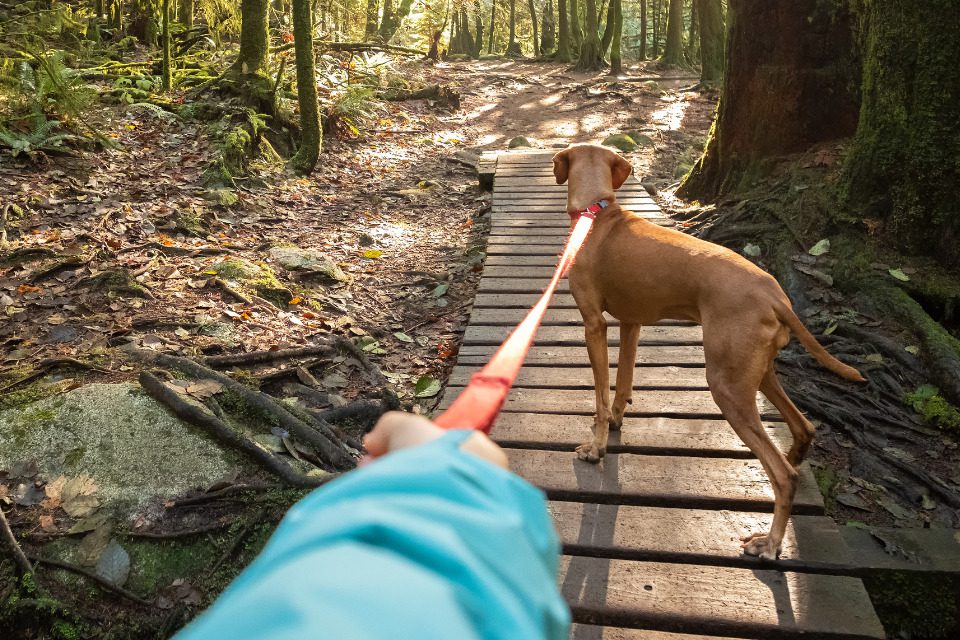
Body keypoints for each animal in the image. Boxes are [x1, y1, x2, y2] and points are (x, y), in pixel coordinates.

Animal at [552, 142, 868, 556]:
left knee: (784, 475)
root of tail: (774, 295)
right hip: (756, 373)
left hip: (726, 385)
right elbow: (622, 385)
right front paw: (618, 420)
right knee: (804, 427)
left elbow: (601, 398)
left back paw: (770, 541)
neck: (599, 212)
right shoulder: (632, 323)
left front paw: (596, 447)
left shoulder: (594, 325)